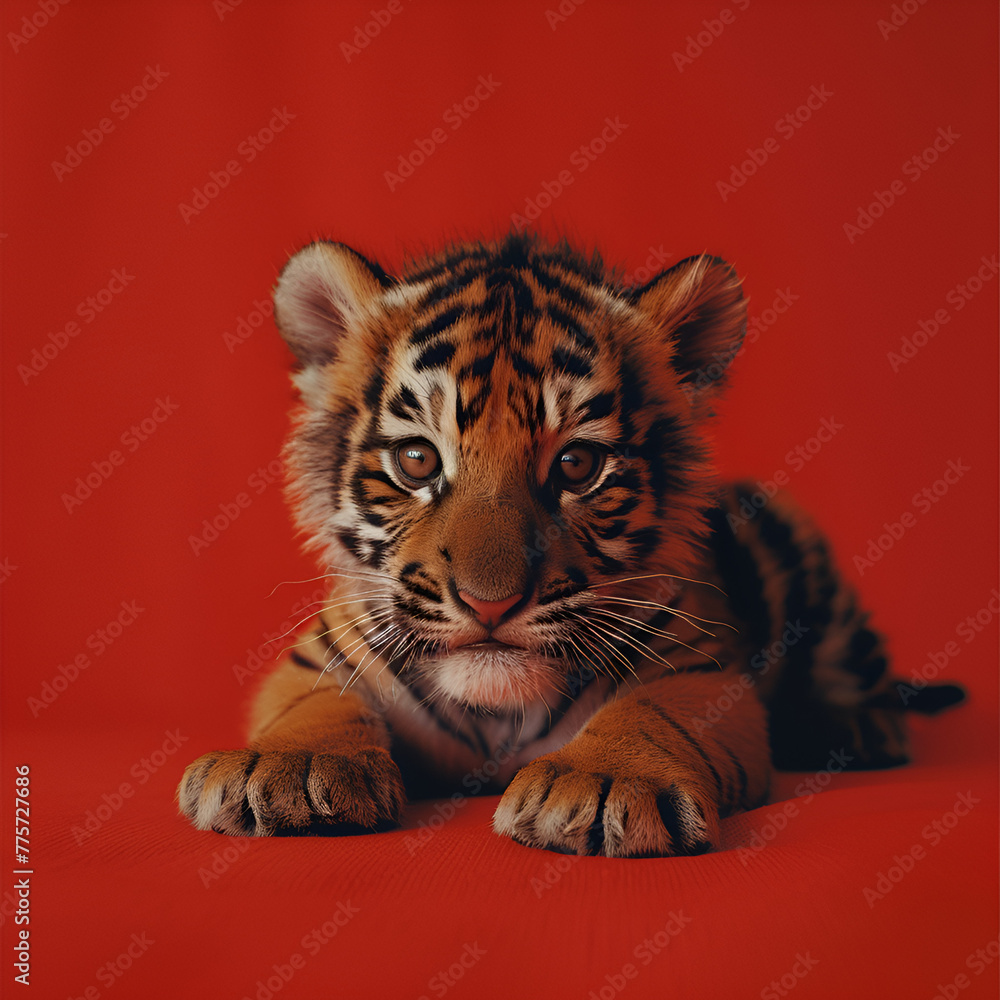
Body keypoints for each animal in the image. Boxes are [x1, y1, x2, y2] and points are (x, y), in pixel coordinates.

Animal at [177, 233, 964, 857]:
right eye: (418, 461)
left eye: (577, 465)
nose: (489, 605)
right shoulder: (320, 656)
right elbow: (312, 705)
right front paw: (283, 767)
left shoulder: (701, 675)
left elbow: (649, 713)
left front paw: (606, 781)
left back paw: (853, 726)